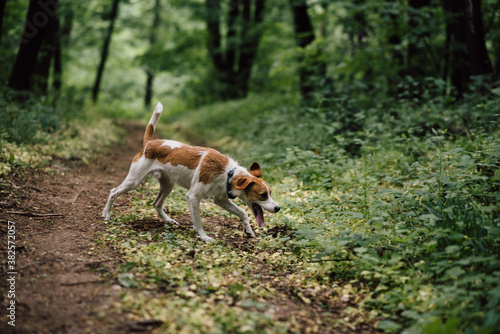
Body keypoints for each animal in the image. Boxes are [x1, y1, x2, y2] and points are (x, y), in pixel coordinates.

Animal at [101, 102, 282, 243]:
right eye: (263, 195)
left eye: (270, 193)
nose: (278, 208)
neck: (227, 173)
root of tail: (150, 143)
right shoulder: (193, 197)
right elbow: (199, 222)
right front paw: (204, 237)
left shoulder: (221, 199)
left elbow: (243, 213)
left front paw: (249, 230)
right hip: (134, 181)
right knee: (113, 192)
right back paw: (106, 214)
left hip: (167, 186)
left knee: (156, 204)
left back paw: (168, 220)